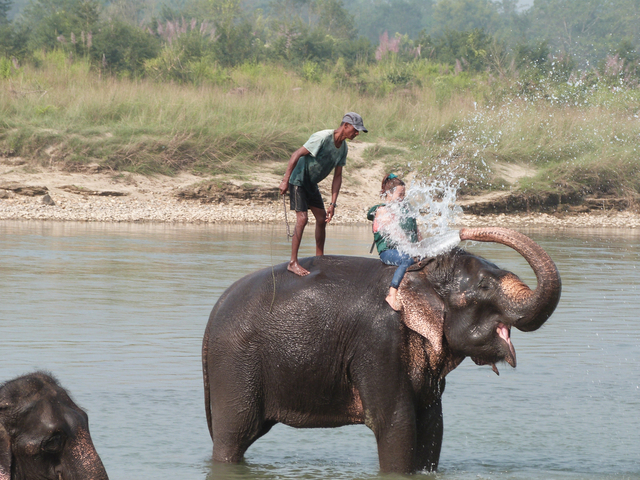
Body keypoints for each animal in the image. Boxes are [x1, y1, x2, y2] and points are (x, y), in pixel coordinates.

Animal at [202, 227, 561, 474]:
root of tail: (210, 321)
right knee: (234, 435)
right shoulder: (377, 342)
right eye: (485, 286)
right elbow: (396, 424)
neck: (421, 275)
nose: (463, 230)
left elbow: (433, 424)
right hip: (234, 365)